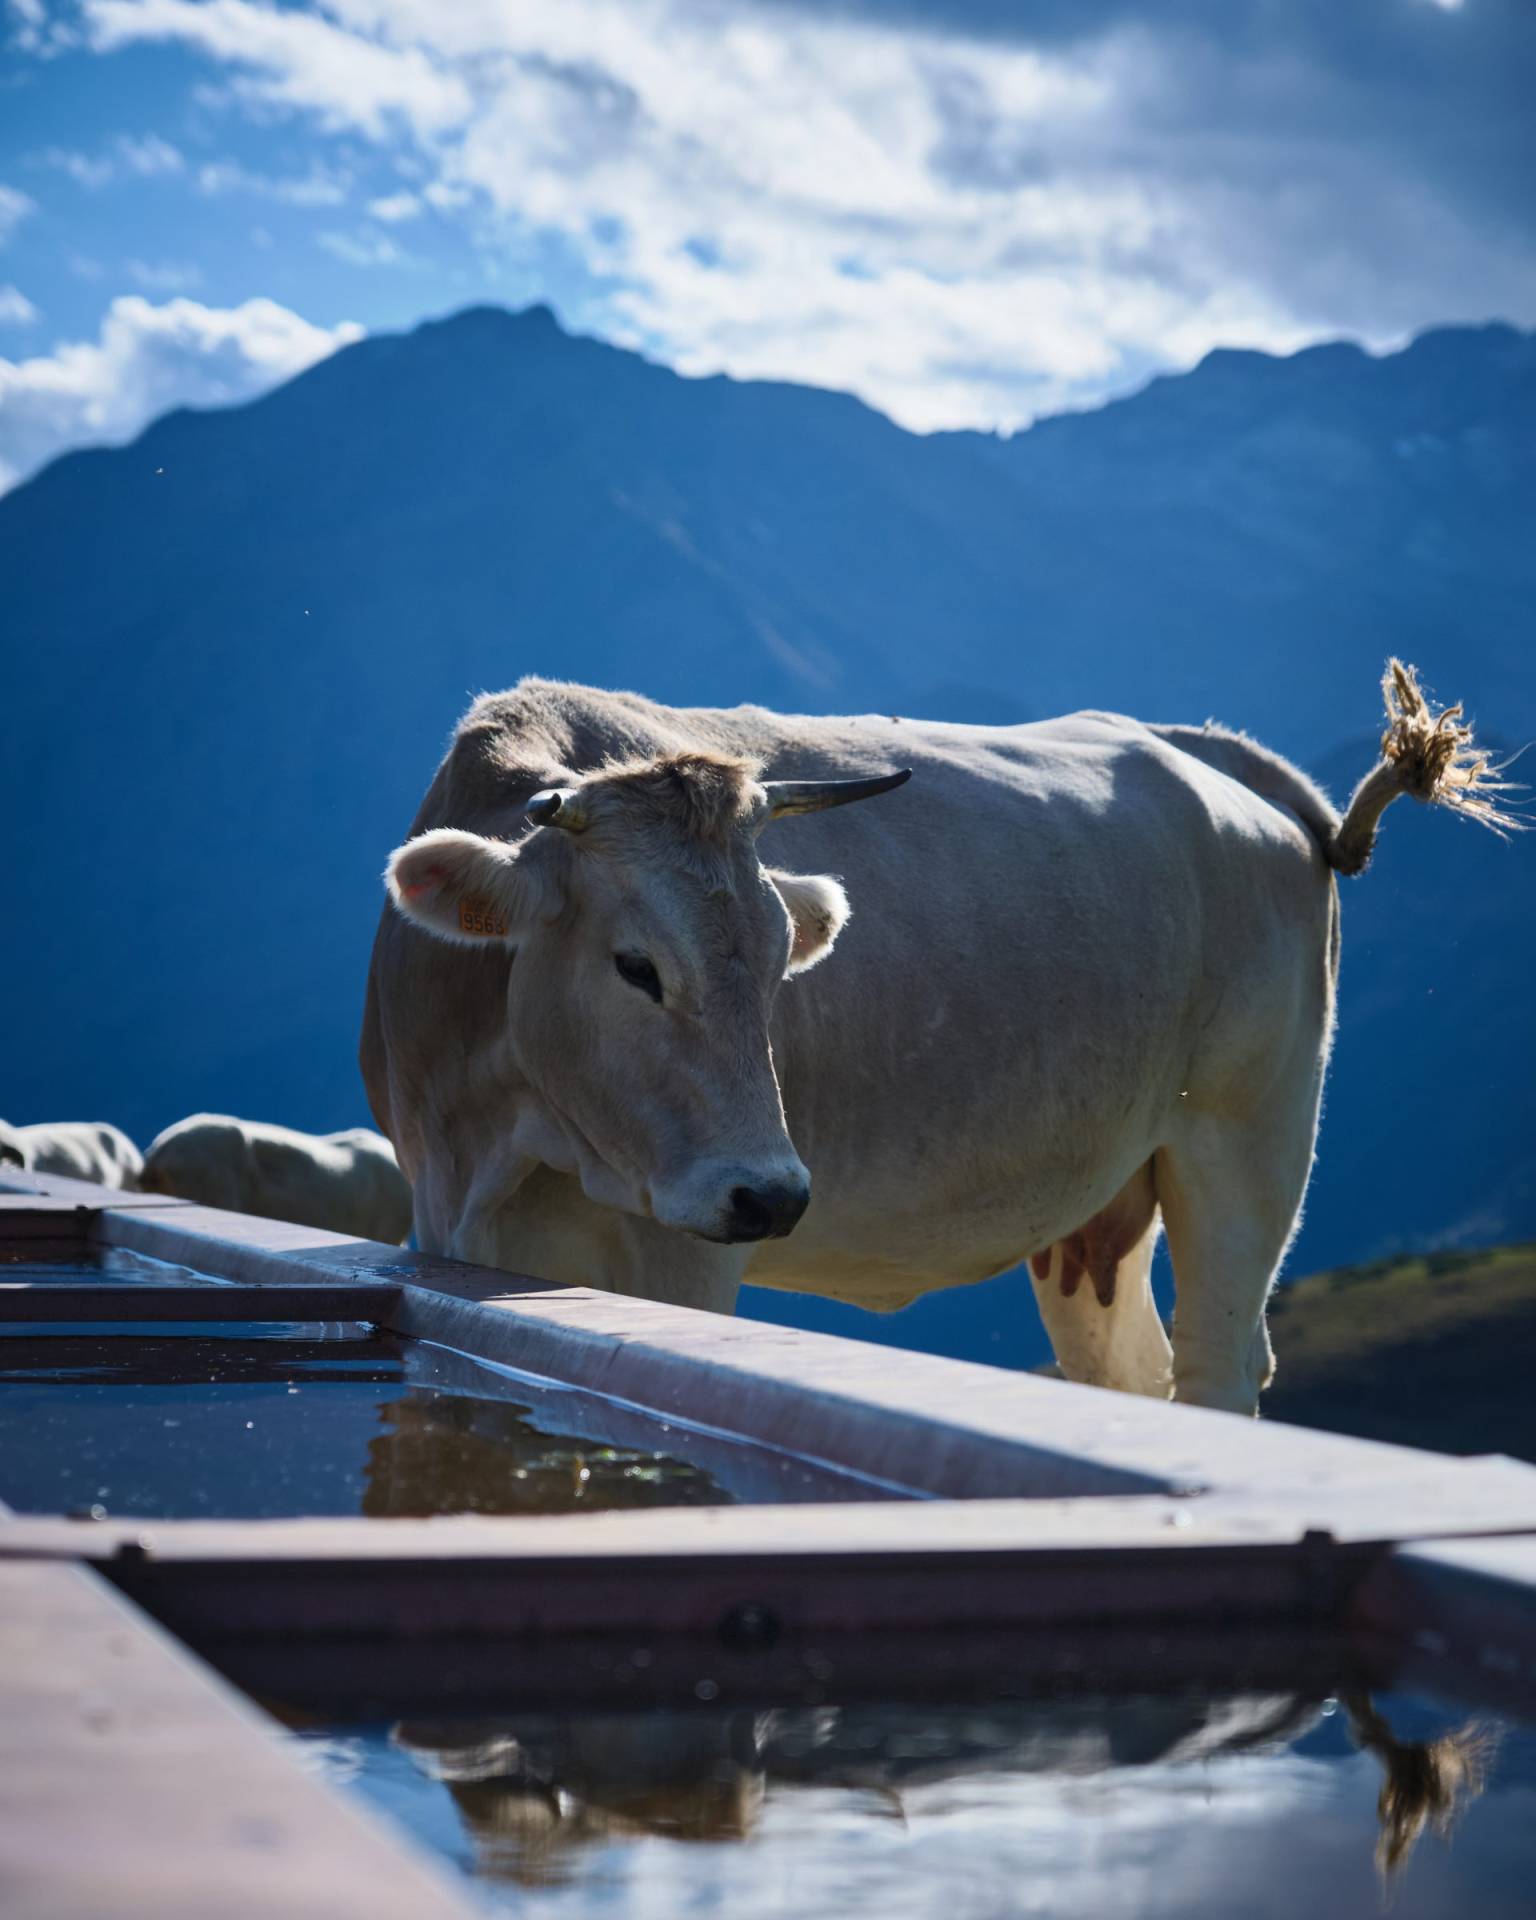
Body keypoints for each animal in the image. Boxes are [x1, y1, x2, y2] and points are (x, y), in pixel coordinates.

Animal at [362, 663, 1515, 1414]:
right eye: (635, 965)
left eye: (781, 963)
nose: (770, 1196)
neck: (498, 1148)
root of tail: (1199, 750)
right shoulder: (441, 1209)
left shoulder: (678, 1259)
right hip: (1101, 1210)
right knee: (1128, 1374)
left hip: (1248, 1140)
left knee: (1215, 1361)